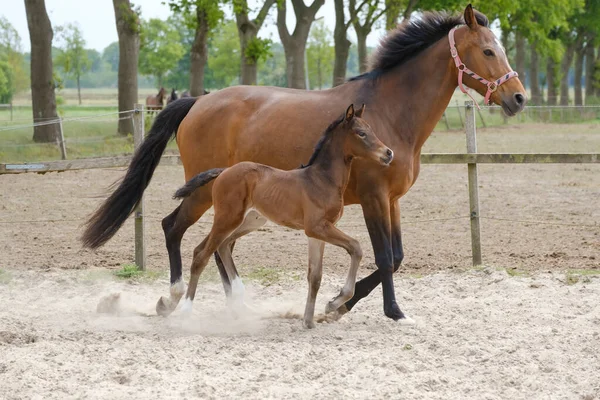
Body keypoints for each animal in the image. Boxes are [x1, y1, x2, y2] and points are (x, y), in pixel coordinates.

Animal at [159, 105, 394, 328]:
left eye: (372, 130)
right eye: (361, 133)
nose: (388, 153)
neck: (321, 180)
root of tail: (224, 171)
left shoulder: (317, 233)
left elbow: (315, 276)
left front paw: (308, 321)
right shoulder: (317, 227)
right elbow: (356, 247)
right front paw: (334, 302)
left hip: (249, 220)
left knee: (220, 246)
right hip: (228, 218)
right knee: (202, 255)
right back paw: (185, 311)